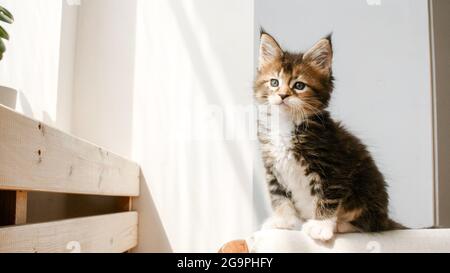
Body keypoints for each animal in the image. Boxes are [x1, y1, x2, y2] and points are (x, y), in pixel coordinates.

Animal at [253, 30, 404, 241]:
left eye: (299, 85)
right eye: (274, 82)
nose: (282, 95)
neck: (286, 123)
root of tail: (385, 218)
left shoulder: (333, 168)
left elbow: (327, 198)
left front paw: (320, 226)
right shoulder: (272, 167)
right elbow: (279, 198)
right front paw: (282, 222)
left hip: (366, 189)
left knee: (369, 225)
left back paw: (341, 225)